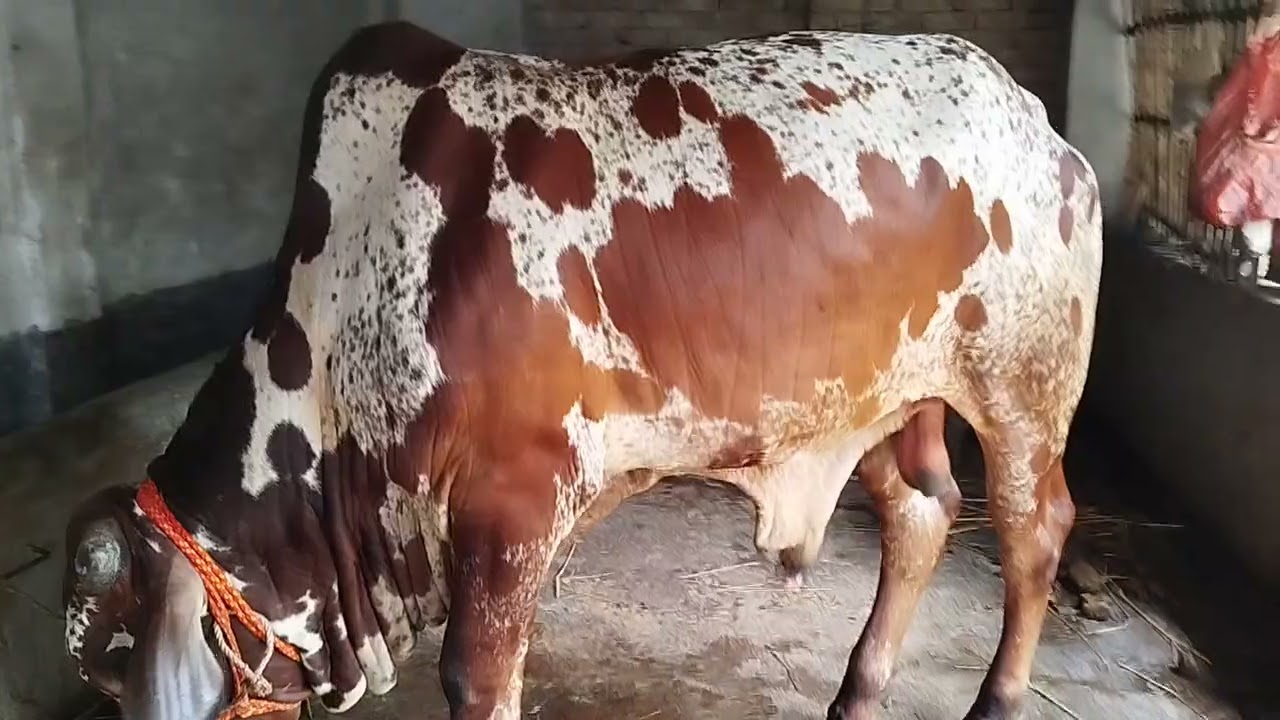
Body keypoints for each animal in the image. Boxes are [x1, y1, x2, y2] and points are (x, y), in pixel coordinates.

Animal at [61, 21, 1102, 720]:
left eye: (113, 665)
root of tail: (1039, 124)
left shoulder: (513, 502)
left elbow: (476, 678)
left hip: (1021, 392)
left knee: (1034, 534)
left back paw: (997, 700)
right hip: (888, 400)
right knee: (920, 515)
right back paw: (857, 692)